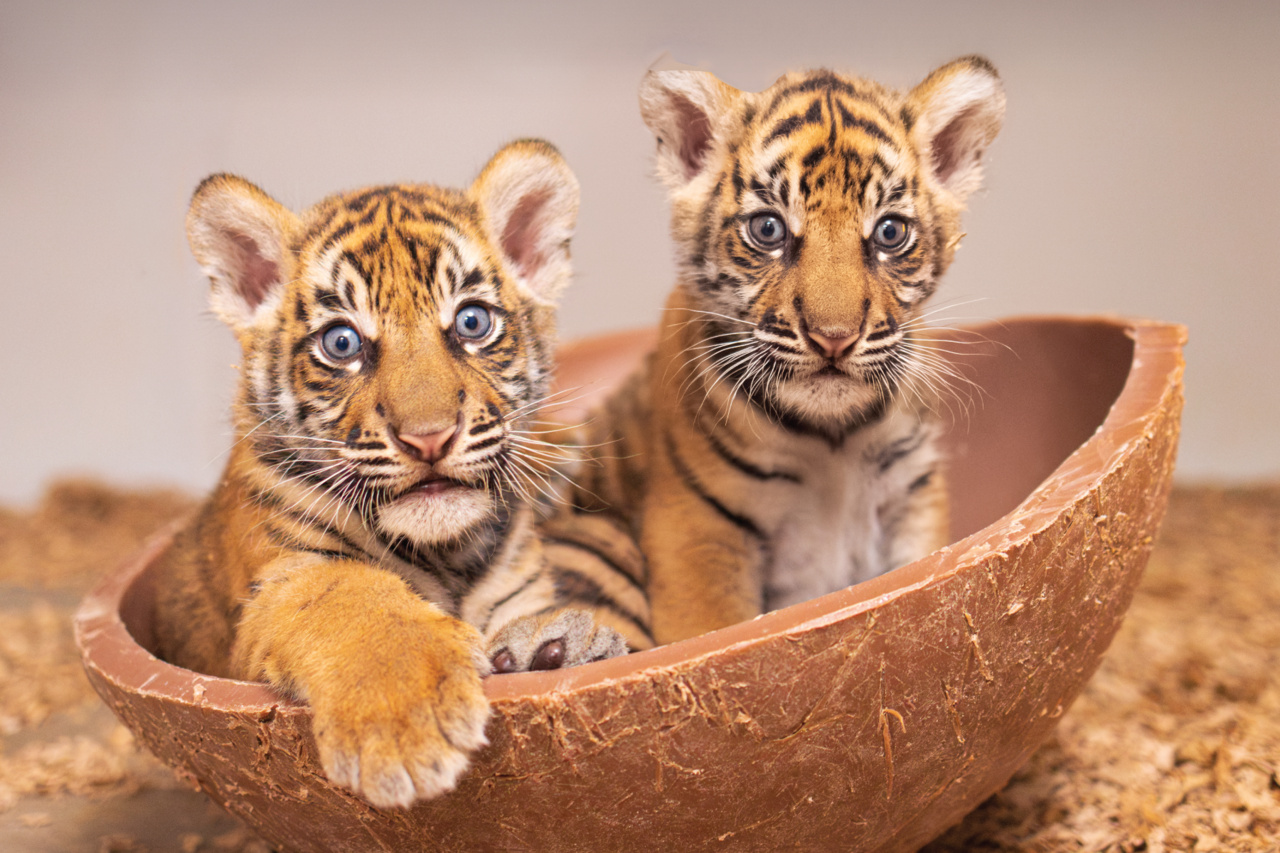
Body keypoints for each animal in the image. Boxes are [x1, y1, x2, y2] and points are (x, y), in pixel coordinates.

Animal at [151, 139, 652, 809]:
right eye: (342, 343)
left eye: (471, 323)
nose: (428, 437)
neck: (449, 556)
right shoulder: (282, 581)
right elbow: (350, 597)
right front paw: (405, 725)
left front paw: (554, 649)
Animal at [574, 57, 1005, 645]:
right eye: (768, 229)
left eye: (889, 232)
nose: (834, 337)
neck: (834, 437)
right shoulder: (696, 528)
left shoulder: (912, 495)